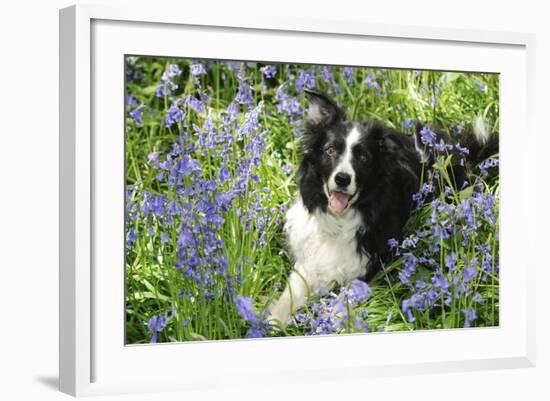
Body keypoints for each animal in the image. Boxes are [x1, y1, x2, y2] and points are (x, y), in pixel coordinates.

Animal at [268, 88, 500, 324]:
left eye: (363, 156)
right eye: (330, 150)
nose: (342, 179)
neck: (340, 221)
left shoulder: (372, 263)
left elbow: (341, 303)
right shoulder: (310, 260)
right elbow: (290, 294)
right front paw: (270, 321)